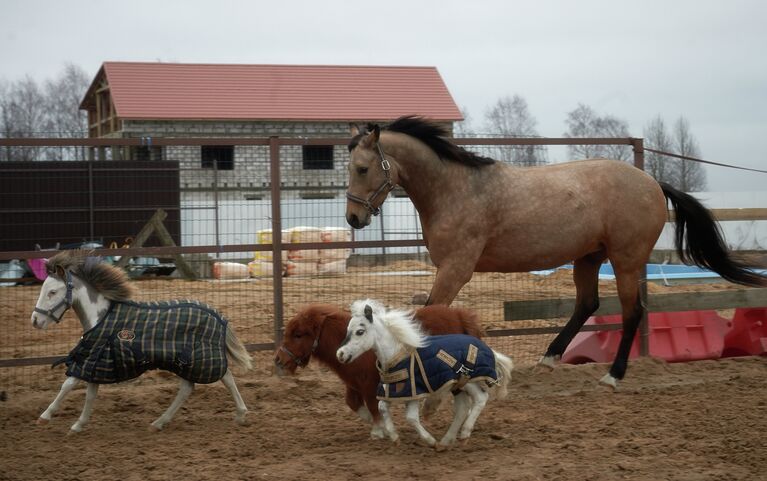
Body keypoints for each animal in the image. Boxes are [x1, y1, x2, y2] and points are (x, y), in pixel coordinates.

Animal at [30, 249, 252, 434]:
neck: (101, 317)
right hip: (188, 362)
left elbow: (68, 384)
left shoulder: (92, 359)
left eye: (52, 292)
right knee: (191, 387)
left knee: (224, 378)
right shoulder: (96, 362)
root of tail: (218, 317)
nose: (35, 321)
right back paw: (160, 422)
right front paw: (78, 425)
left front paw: (44, 417)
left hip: (198, 359)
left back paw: (240, 415)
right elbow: (90, 392)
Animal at [272, 306, 484, 436]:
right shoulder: (354, 384)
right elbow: (353, 403)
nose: (278, 360)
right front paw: (378, 427)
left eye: (298, 335)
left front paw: (379, 430)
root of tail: (461, 316)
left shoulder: (369, 385)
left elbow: (373, 406)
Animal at [338, 298, 512, 448]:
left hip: (468, 380)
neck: (398, 355)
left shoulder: (414, 392)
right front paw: (394, 437)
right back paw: (446, 441)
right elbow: (382, 408)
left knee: (481, 398)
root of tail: (485, 347)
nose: (340, 353)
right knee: (463, 407)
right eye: (347, 330)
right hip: (457, 385)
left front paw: (430, 441)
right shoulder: (394, 391)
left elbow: (411, 417)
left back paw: (463, 434)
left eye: (360, 331)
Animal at [346, 116, 767, 390]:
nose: (353, 218)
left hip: (626, 259)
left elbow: (429, 315)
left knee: (632, 311)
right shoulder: (449, 269)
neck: (455, 188)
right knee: (587, 304)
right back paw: (549, 359)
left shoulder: (456, 268)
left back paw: (613, 376)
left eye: (363, 168)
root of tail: (652, 182)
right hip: (589, 258)